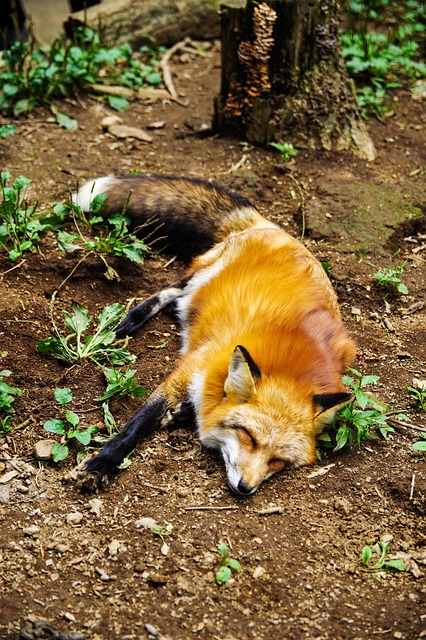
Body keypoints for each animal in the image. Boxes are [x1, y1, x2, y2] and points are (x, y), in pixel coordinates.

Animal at [72, 175, 356, 495]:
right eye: (249, 437)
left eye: (278, 461)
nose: (245, 488)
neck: (291, 366)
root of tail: (274, 228)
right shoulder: (187, 371)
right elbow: (138, 423)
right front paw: (102, 463)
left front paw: (183, 414)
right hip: (203, 274)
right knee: (172, 289)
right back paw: (131, 320)